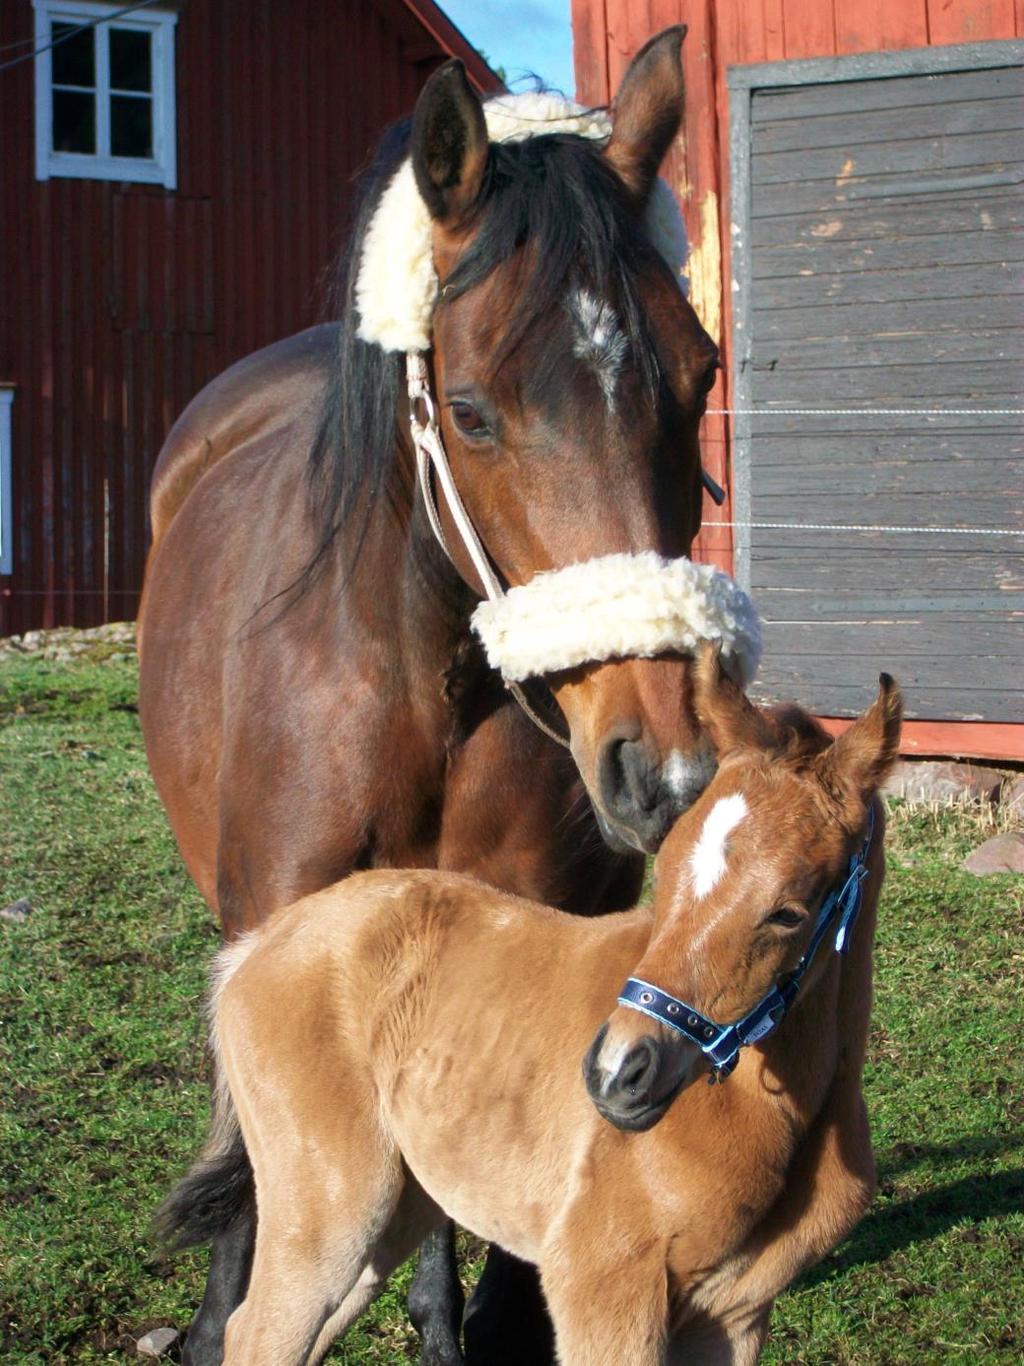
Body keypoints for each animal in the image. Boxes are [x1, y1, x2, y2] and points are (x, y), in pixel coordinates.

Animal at [180, 655, 901, 1360]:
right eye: (665, 871)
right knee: (258, 1332)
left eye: (788, 913)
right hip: (331, 1211)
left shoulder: (735, 1316)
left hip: (396, 1215)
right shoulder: (600, 1295)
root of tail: (256, 944)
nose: (617, 1073)